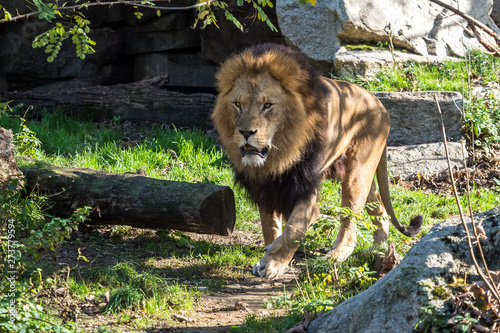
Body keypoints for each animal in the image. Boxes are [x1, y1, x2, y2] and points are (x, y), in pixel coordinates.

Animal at [211, 42, 422, 278]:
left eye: (267, 105)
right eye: (237, 104)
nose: (246, 132)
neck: (279, 155)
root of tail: (379, 103)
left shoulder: (306, 182)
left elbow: (295, 228)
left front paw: (273, 263)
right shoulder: (264, 186)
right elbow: (270, 225)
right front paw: (269, 255)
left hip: (356, 174)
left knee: (350, 225)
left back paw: (333, 257)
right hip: (363, 173)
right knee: (378, 205)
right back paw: (380, 247)